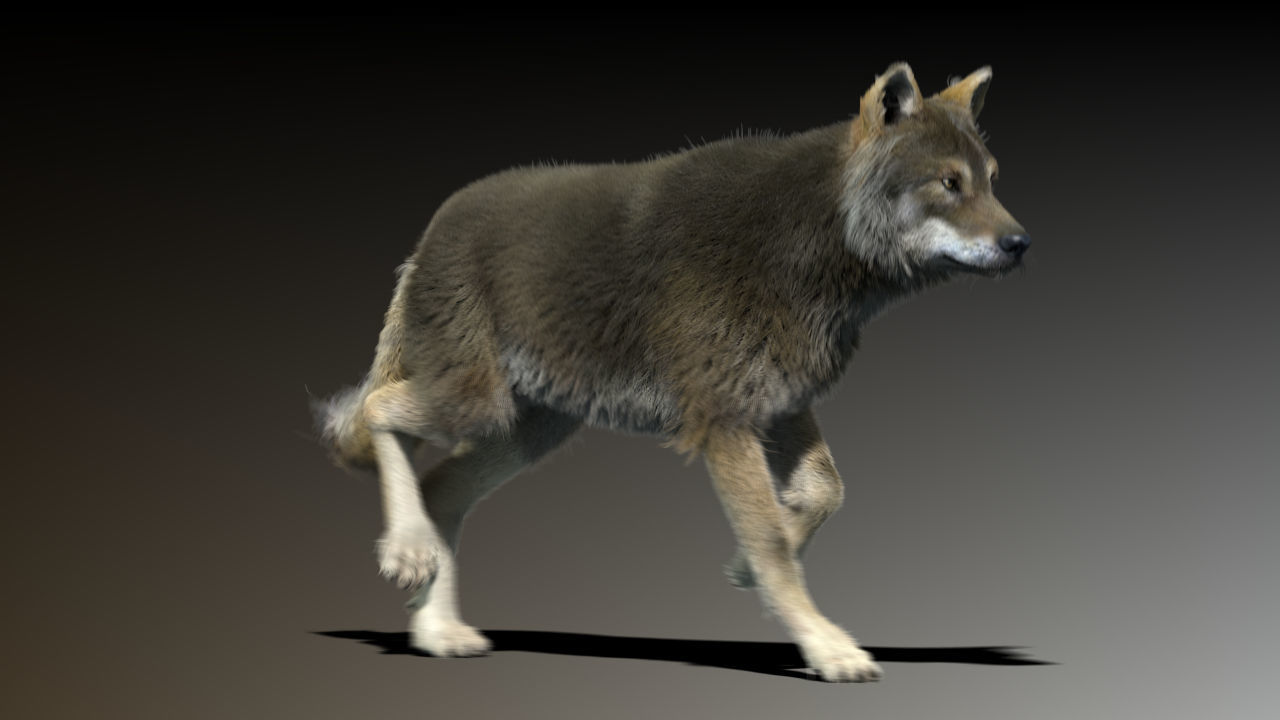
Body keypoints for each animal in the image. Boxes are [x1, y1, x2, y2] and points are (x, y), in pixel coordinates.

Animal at [318, 62, 1029, 682]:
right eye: (949, 183)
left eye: (992, 179)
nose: (1022, 244)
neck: (810, 238)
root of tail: (429, 234)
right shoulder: (725, 423)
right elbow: (773, 541)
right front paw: (825, 645)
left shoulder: (779, 406)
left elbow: (824, 495)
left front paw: (746, 571)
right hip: (476, 401)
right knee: (379, 412)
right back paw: (406, 553)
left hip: (527, 432)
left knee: (439, 487)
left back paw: (436, 631)